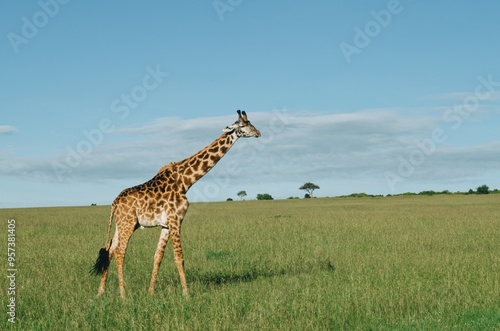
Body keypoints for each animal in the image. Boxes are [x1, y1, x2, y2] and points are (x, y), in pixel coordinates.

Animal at [91, 110, 262, 300]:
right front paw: (186, 294)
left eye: (251, 123)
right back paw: (123, 294)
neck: (185, 181)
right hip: (128, 224)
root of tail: (114, 203)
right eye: (243, 125)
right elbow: (179, 257)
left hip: (121, 225)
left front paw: (151, 292)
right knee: (120, 252)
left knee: (110, 250)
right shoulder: (176, 219)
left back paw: (100, 291)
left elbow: (158, 256)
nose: (258, 133)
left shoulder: (166, 224)